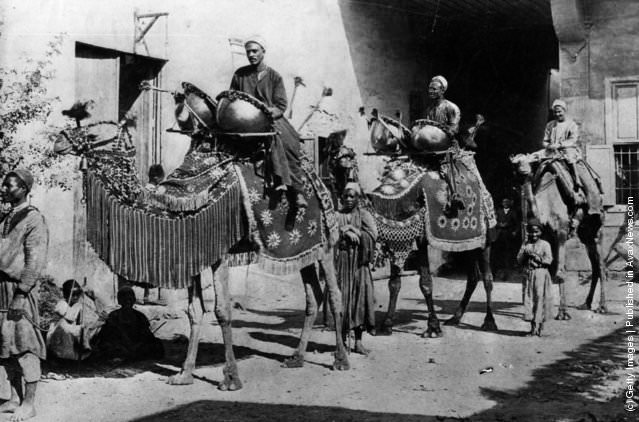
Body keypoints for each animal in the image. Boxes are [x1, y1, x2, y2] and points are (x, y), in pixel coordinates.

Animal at [53, 83, 350, 392]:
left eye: (93, 133)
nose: (58, 141)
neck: (178, 203)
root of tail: (321, 183)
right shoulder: (194, 249)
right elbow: (194, 311)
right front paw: (184, 374)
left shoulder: (218, 252)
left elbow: (222, 311)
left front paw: (230, 378)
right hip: (303, 249)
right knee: (312, 295)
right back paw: (296, 358)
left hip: (326, 243)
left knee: (335, 294)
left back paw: (340, 359)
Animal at [330, 113, 500, 338]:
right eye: (334, 158)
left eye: (346, 157)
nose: (342, 189)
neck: (393, 199)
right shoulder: (396, 241)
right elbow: (394, 283)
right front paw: (387, 324)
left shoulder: (420, 240)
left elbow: (426, 282)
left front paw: (433, 327)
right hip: (467, 241)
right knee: (473, 276)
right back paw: (455, 318)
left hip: (487, 236)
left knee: (487, 277)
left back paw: (489, 322)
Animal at [510, 152, 608, 316]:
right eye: (516, 163)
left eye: (529, 161)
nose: (523, 170)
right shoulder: (545, 237)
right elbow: (547, 270)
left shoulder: (561, 233)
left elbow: (560, 271)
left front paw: (562, 312)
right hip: (585, 235)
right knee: (594, 265)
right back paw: (586, 303)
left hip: (597, 228)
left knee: (601, 266)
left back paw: (602, 307)